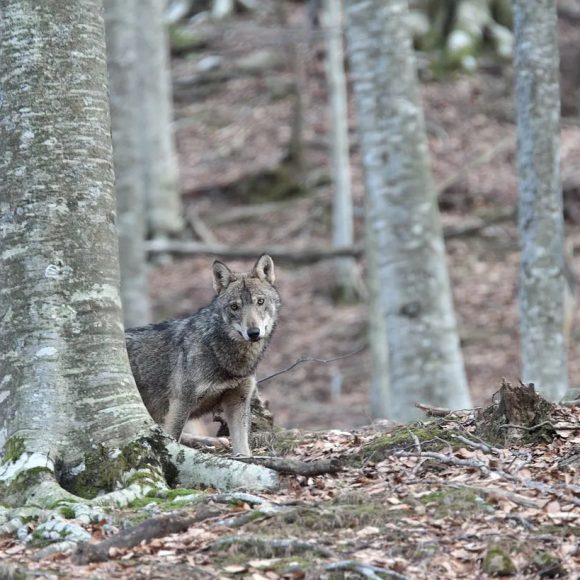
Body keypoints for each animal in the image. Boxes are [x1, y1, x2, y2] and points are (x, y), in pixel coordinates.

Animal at [125, 256, 280, 456]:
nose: (253, 333)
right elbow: (171, 440)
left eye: (260, 301)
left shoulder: (238, 401)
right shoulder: (181, 402)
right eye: (234, 307)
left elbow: (243, 449)